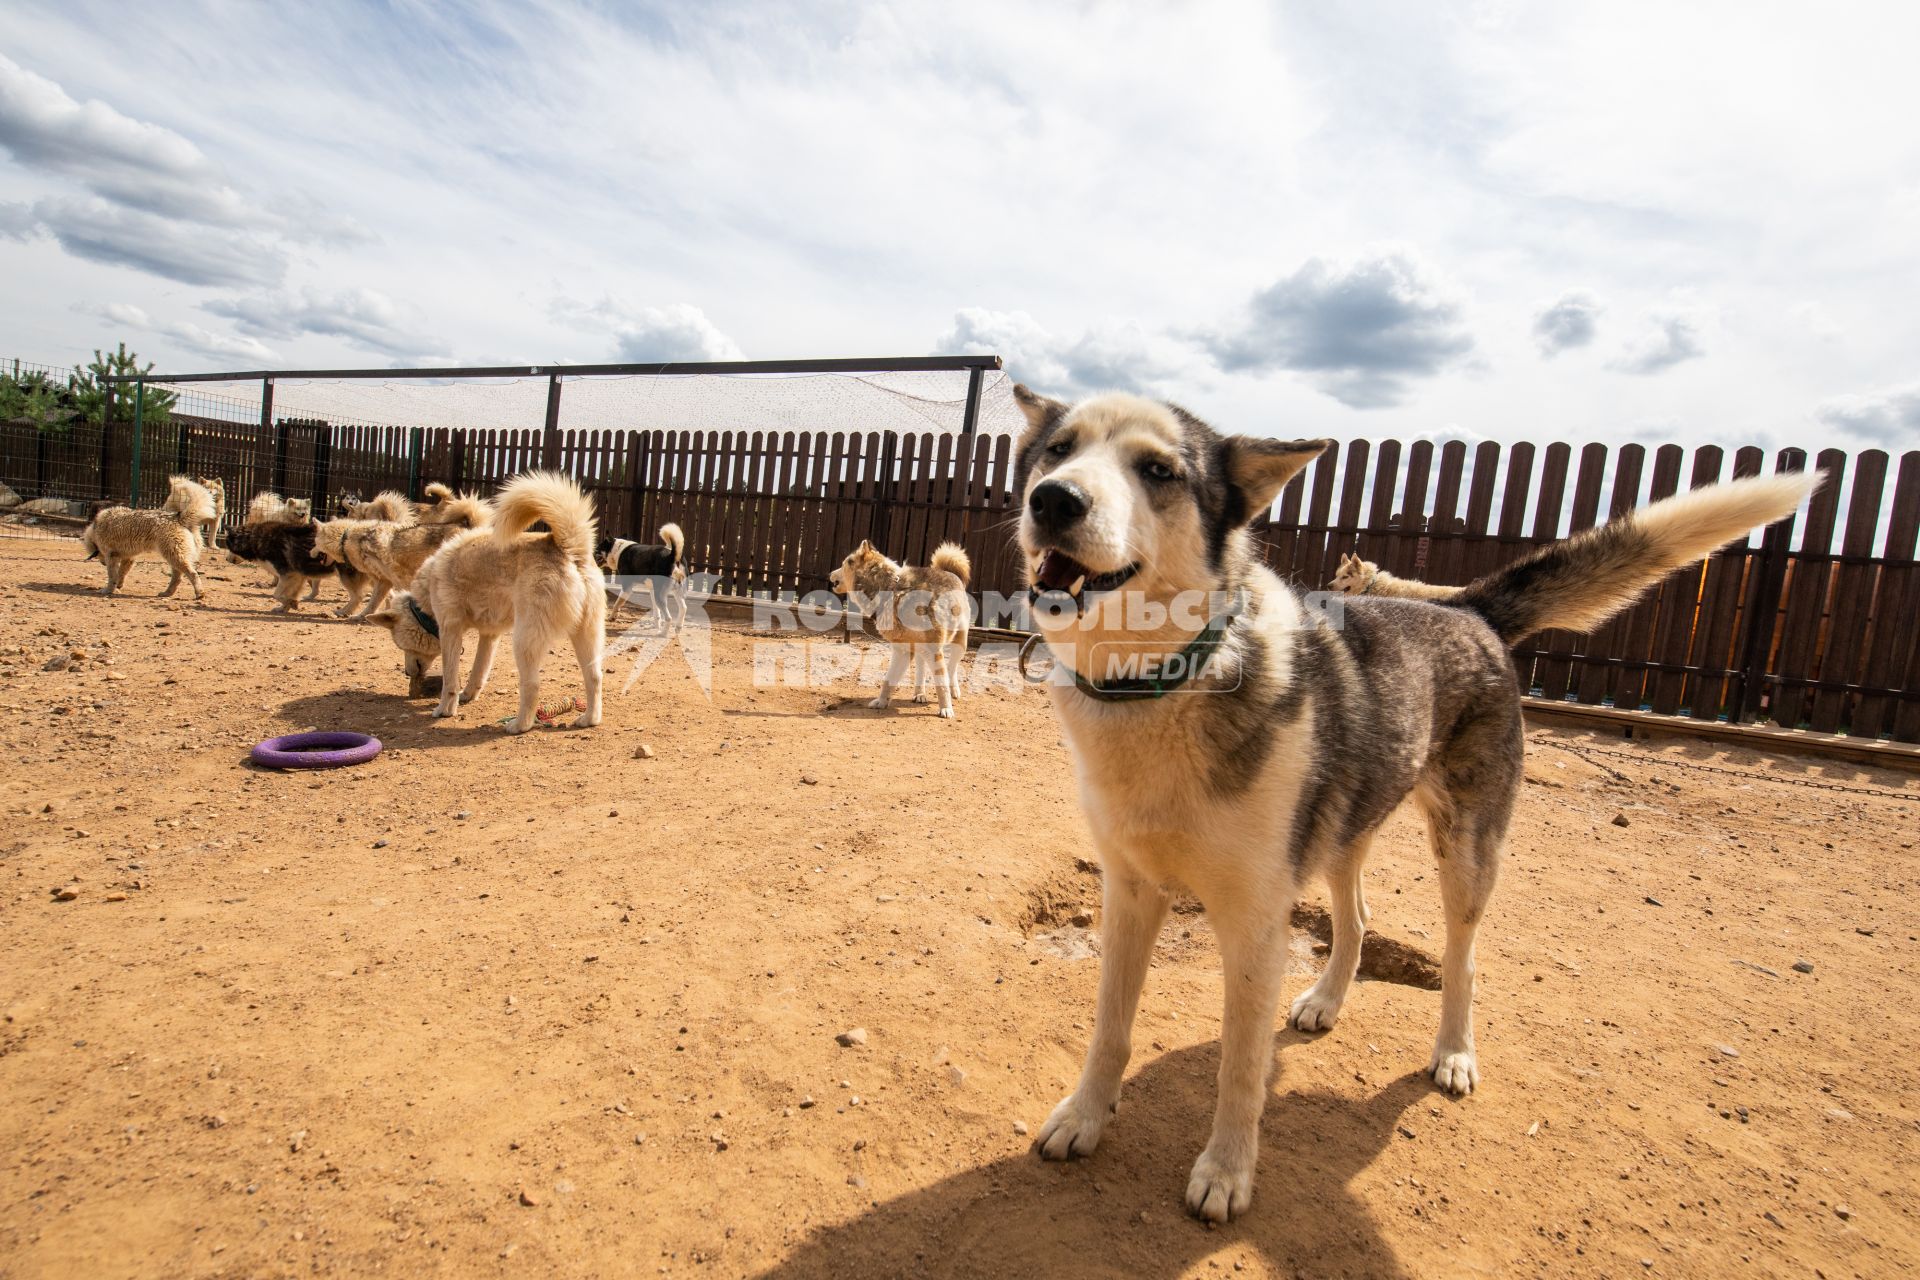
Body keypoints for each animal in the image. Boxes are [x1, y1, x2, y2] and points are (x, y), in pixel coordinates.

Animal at [366, 470, 606, 729]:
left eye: (400, 645)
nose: (407, 674)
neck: (425, 598)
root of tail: (567, 546)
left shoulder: (450, 629)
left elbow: (450, 679)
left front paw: (445, 709)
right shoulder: (490, 635)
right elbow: (478, 670)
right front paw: (468, 695)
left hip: (524, 639)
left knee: (532, 685)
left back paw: (519, 725)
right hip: (586, 634)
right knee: (594, 676)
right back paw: (589, 719)